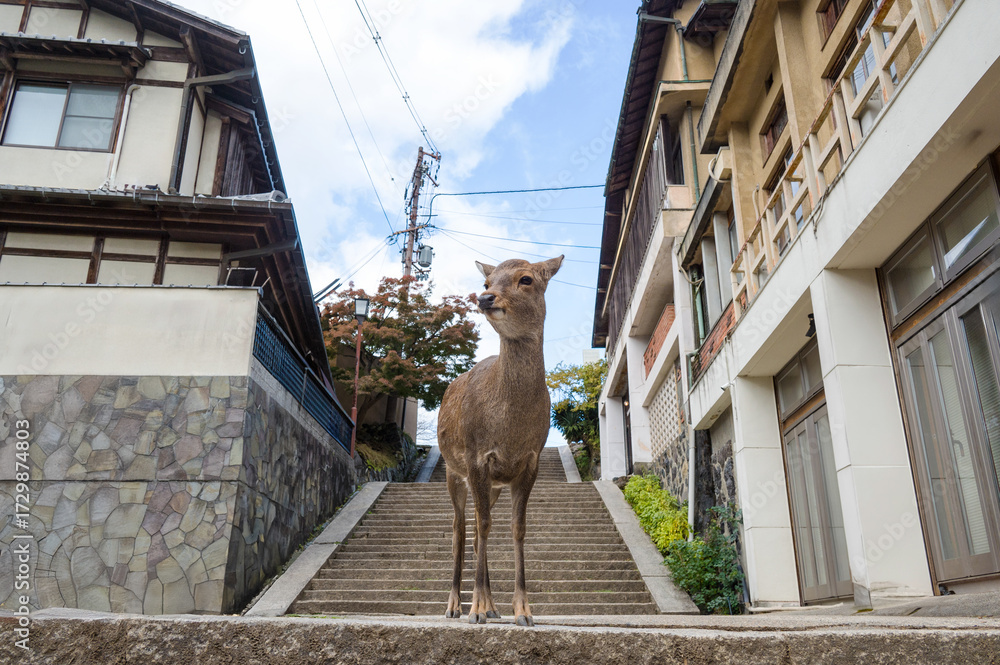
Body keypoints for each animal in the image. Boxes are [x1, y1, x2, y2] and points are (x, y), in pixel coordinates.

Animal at [436, 255, 563, 627]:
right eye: (487, 281)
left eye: (527, 279)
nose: (484, 298)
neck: (510, 430)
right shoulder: (477, 457)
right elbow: (481, 526)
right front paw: (475, 608)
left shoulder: (530, 461)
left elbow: (517, 528)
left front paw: (523, 611)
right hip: (453, 471)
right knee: (461, 529)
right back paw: (455, 606)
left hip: (491, 486)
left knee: (479, 533)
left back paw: (492, 607)